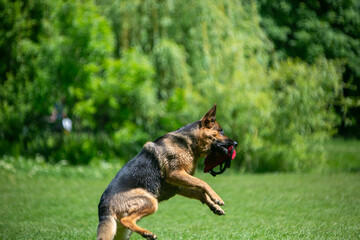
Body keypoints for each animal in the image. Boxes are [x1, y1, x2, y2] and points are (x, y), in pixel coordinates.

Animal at [96, 105, 236, 240]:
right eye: (221, 131)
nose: (235, 143)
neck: (189, 143)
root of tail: (104, 207)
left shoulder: (179, 185)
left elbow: (200, 192)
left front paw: (214, 206)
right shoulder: (175, 174)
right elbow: (203, 183)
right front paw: (216, 198)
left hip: (122, 233)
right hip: (151, 202)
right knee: (126, 220)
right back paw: (147, 233)